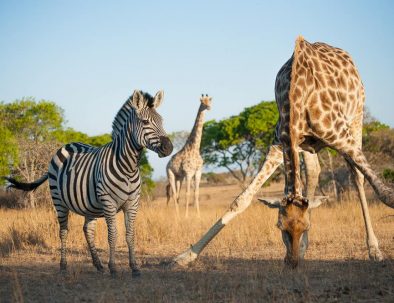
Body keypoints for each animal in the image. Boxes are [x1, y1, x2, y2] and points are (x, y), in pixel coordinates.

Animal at [5, 90, 172, 278]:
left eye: (162, 121)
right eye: (145, 122)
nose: (169, 148)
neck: (128, 166)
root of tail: (67, 145)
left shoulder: (133, 203)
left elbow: (130, 234)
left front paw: (134, 268)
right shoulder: (108, 202)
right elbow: (113, 234)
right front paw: (113, 268)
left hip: (89, 205)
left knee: (87, 230)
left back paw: (98, 264)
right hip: (58, 200)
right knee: (63, 231)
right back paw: (63, 265)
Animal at [172, 37, 394, 268]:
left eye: (307, 227)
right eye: (280, 227)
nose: (292, 262)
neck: (298, 98)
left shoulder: (341, 138)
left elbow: (386, 194)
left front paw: (376, 251)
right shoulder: (280, 144)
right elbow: (241, 200)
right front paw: (185, 256)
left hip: (356, 118)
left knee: (357, 176)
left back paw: (373, 249)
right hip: (308, 146)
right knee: (313, 172)